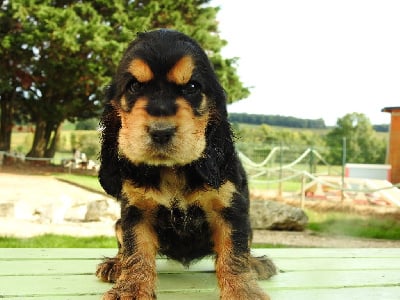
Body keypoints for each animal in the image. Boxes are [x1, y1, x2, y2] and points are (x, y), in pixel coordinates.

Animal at [96, 28, 276, 300]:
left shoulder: (231, 211)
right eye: (135, 86)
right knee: (123, 248)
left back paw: (256, 263)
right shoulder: (136, 213)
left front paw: (243, 291)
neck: (172, 169)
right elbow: (136, 251)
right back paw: (115, 264)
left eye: (192, 87)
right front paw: (131, 288)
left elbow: (234, 254)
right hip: (118, 223)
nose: (161, 132)